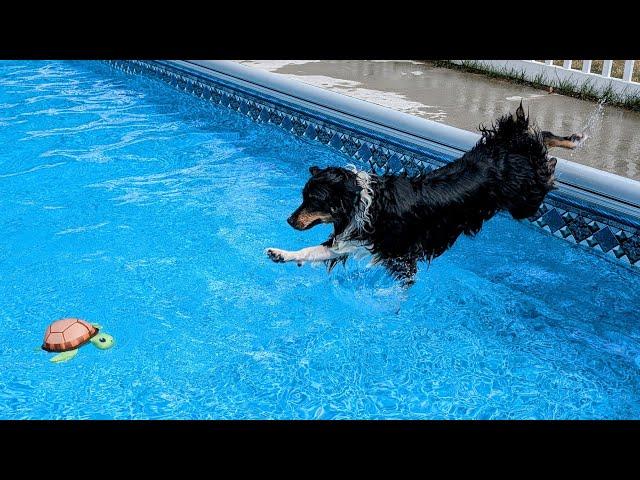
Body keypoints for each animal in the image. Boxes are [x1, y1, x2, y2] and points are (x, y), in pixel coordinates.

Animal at [266, 101, 584, 286]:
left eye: (314, 200)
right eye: (303, 197)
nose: (289, 220)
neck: (365, 204)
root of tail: (501, 150)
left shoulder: (401, 255)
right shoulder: (351, 240)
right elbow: (312, 251)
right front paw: (282, 254)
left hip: (525, 199)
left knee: (542, 153)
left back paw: (568, 146)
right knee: (536, 138)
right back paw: (572, 139)